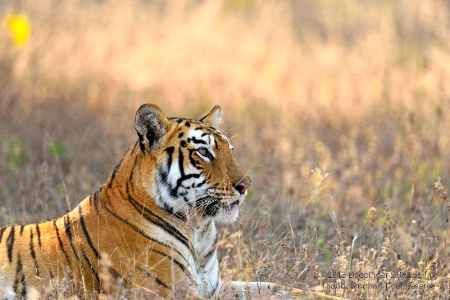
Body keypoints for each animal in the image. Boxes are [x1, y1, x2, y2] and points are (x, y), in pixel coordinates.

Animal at [0, 104, 344, 298]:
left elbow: (279, 288)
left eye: (229, 149)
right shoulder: (171, 292)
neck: (200, 230)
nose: (246, 185)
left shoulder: (214, 286)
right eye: (204, 152)